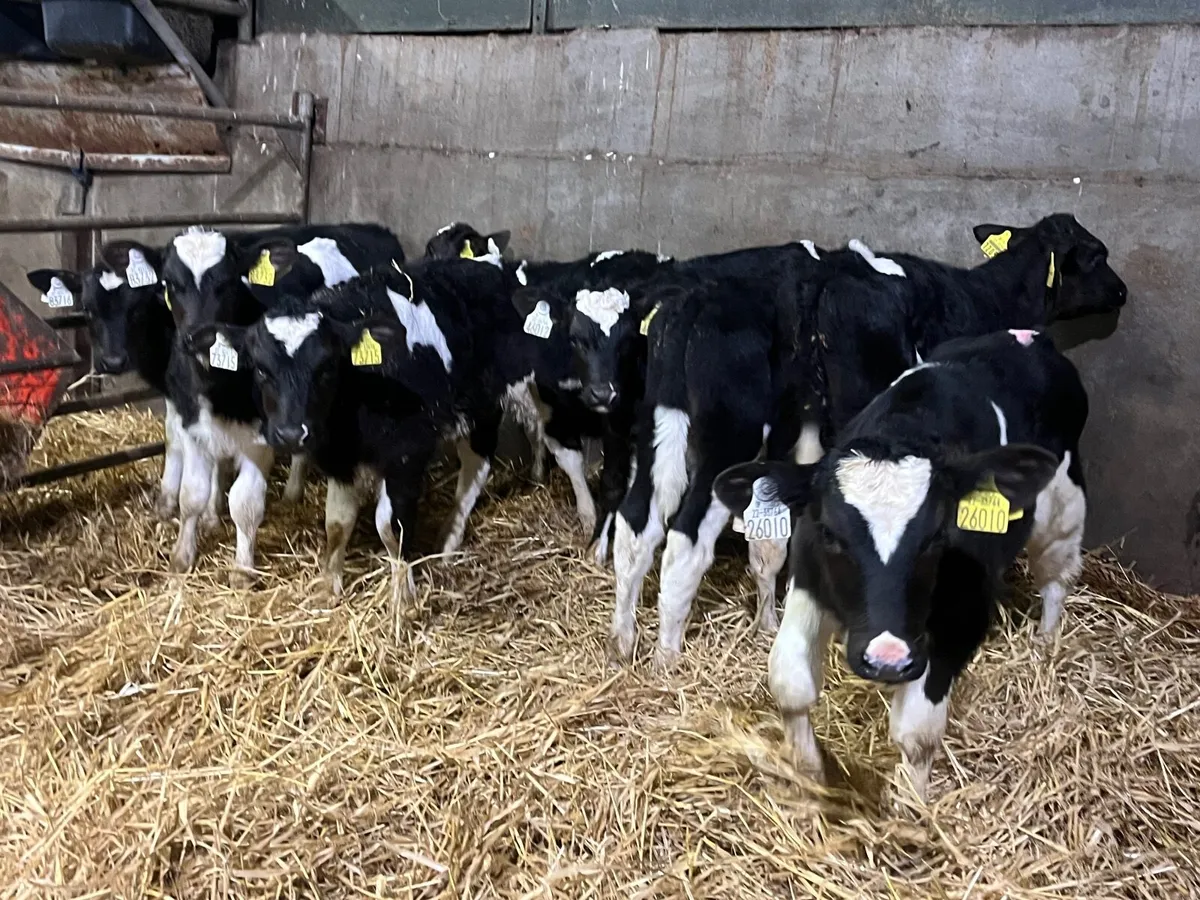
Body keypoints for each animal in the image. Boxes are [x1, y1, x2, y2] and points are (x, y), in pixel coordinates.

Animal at [712, 328, 1088, 800]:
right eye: (830, 533)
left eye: (937, 537)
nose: (886, 659)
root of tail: (1028, 336)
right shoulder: (811, 580)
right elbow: (790, 681)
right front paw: (811, 777)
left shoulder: (961, 615)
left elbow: (917, 733)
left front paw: (912, 807)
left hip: (1063, 507)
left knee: (1056, 576)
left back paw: (1046, 640)